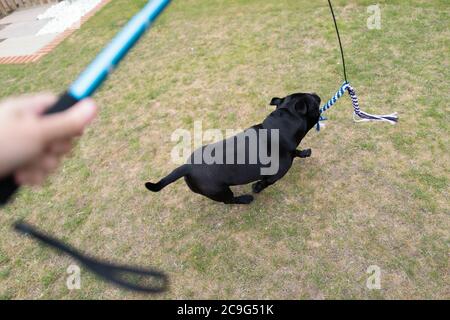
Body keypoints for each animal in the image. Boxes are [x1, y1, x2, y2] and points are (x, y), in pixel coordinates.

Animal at [145, 92, 320, 205]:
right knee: (229, 201)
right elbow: (264, 183)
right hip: (220, 191)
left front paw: (305, 152)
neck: (277, 129)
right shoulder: (274, 175)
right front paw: (256, 188)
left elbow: (297, 152)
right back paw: (245, 199)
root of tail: (186, 167)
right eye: (315, 102)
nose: (316, 93)